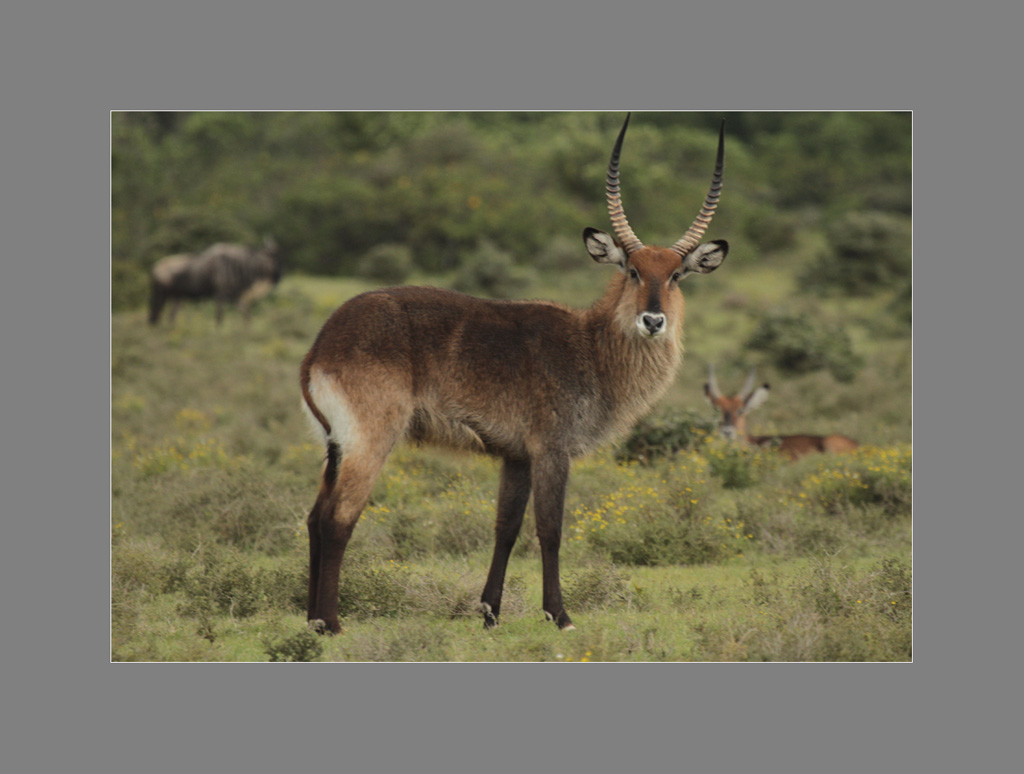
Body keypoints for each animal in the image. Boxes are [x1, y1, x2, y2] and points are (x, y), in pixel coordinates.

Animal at [147, 241, 280, 325]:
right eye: (271, 258)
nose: (277, 276)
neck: (236, 265)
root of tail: (154, 267)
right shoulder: (220, 295)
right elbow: (219, 317)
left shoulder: (236, 297)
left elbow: (246, 315)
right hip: (160, 296)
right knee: (155, 316)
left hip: (177, 297)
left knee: (169, 316)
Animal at [299, 114, 733, 634]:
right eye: (631, 270)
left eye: (676, 275)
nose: (653, 321)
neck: (591, 348)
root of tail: (321, 346)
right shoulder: (551, 450)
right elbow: (550, 529)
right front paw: (560, 615)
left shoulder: (516, 456)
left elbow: (504, 528)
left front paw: (489, 613)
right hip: (369, 440)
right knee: (338, 518)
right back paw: (330, 624)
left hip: (335, 446)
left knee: (314, 516)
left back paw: (308, 618)